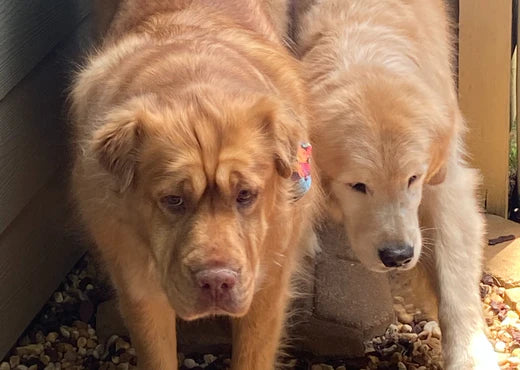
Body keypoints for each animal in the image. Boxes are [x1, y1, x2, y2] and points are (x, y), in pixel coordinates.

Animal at [294, 0, 498, 368]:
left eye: (412, 179)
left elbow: (455, 275)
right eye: (357, 185)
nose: (398, 256)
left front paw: (470, 353)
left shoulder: (446, 181)